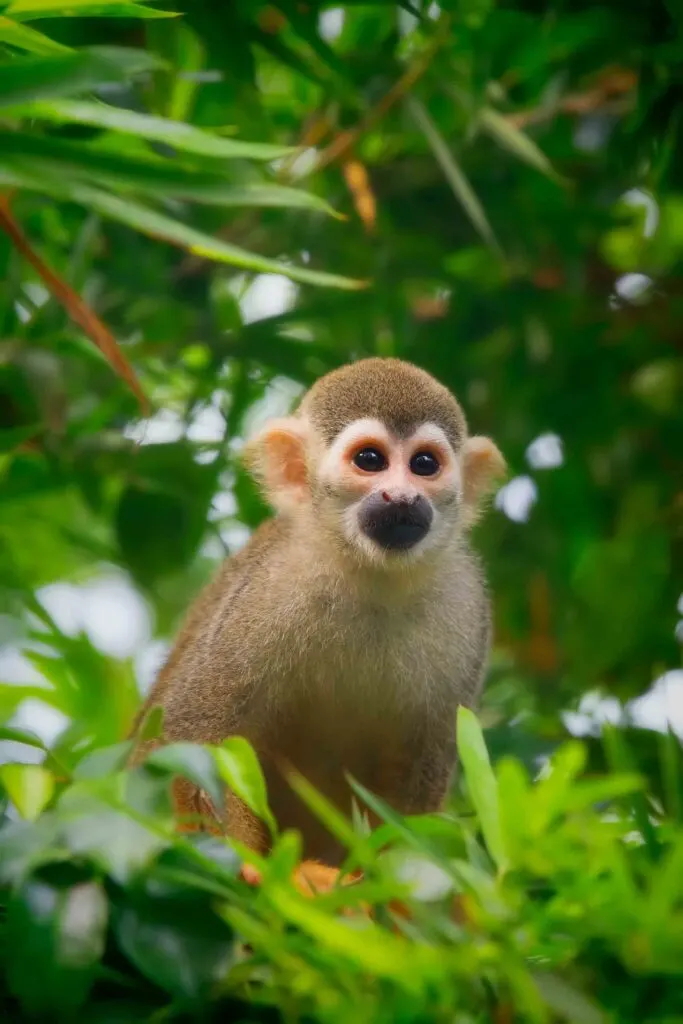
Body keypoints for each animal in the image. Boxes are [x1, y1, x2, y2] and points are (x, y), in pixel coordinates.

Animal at [131, 360, 505, 864]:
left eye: (424, 465)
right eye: (370, 460)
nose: (403, 497)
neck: (371, 578)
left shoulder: (465, 603)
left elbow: (416, 784)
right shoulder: (265, 591)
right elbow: (195, 739)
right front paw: (254, 872)